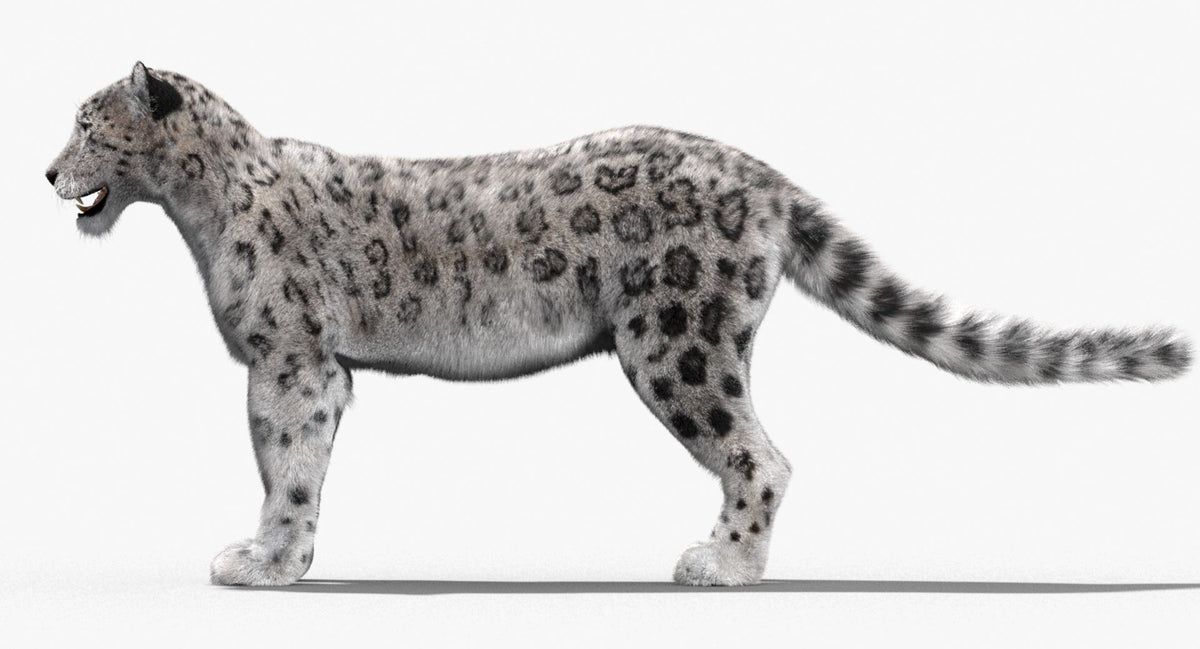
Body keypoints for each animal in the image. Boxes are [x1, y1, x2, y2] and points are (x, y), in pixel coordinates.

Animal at [46, 63, 1191, 587]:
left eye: (90, 123)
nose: (49, 172)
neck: (200, 212)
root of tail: (763, 173)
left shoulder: (290, 357)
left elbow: (285, 461)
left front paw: (264, 560)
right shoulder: (306, 363)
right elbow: (292, 463)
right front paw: (276, 554)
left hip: (676, 340)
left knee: (759, 452)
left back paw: (721, 566)